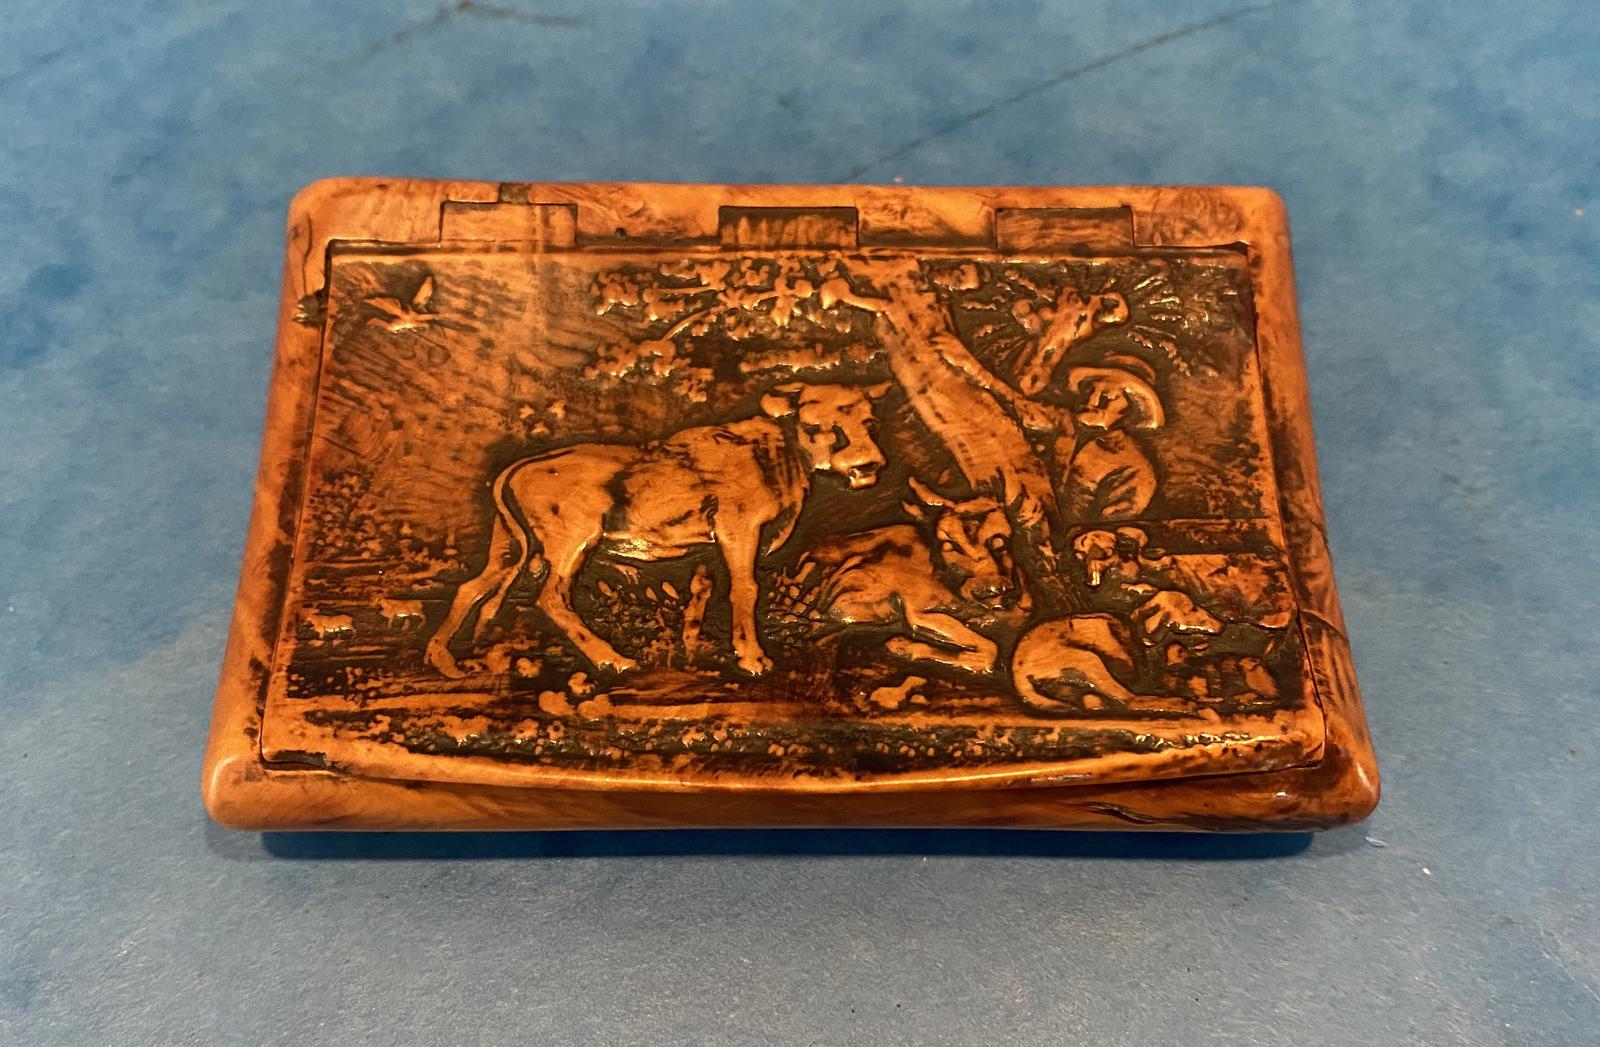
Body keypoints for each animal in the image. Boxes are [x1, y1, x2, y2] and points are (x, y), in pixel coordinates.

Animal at [424, 380, 892, 679]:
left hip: (509, 549)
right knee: (552, 598)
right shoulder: (738, 532)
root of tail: (523, 463)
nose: (867, 465)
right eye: (814, 425)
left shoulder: (706, 549)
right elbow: (745, 590)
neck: (774, 453)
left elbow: (699, 598)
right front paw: (753, 659)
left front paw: (692, 652)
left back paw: (441, 659)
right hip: (571, 545)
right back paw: (613, 660)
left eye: (870, 422)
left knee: (471, 588)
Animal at [773, 477, 1019, 673]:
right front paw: (903, 646)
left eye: (1000, 540)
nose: (991, 589)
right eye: (949, 544)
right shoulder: (918, 612)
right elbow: (990, 649)